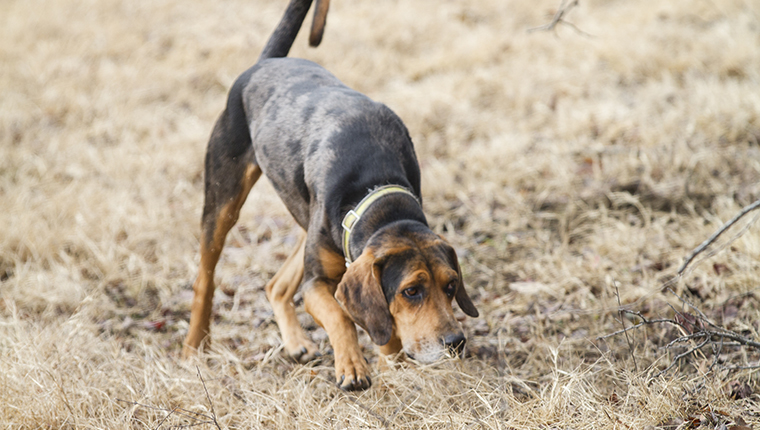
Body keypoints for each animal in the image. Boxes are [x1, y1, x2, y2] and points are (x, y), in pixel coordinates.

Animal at [182, 0, 478, 392]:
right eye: (411, 291)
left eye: (451, 285)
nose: (456, 342)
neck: (377, 193)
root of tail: (265, 63)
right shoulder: (316, 285)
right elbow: (340, 315)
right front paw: (352, 366)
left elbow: (383, 330)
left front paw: (391, 366)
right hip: (223, 200)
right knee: (206, 278)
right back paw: (194, 346)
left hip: (308, 221)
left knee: (277, 285)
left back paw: (296, 341)